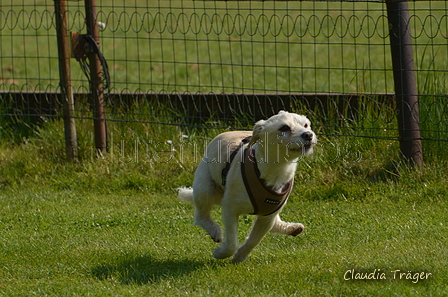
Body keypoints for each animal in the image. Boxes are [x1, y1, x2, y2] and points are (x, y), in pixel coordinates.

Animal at [177, 110, 316, 262]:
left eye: (306, 125)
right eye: (284, 128)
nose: (308, 134)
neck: (277, 170)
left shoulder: (267, 216)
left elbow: (254, 240)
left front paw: (240, 256)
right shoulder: (230, 209)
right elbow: (232, 242)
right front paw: (222, 253)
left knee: (274, 223)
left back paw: (291, 228)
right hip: (205, 189)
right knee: (201, 216)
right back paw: (215, 230)